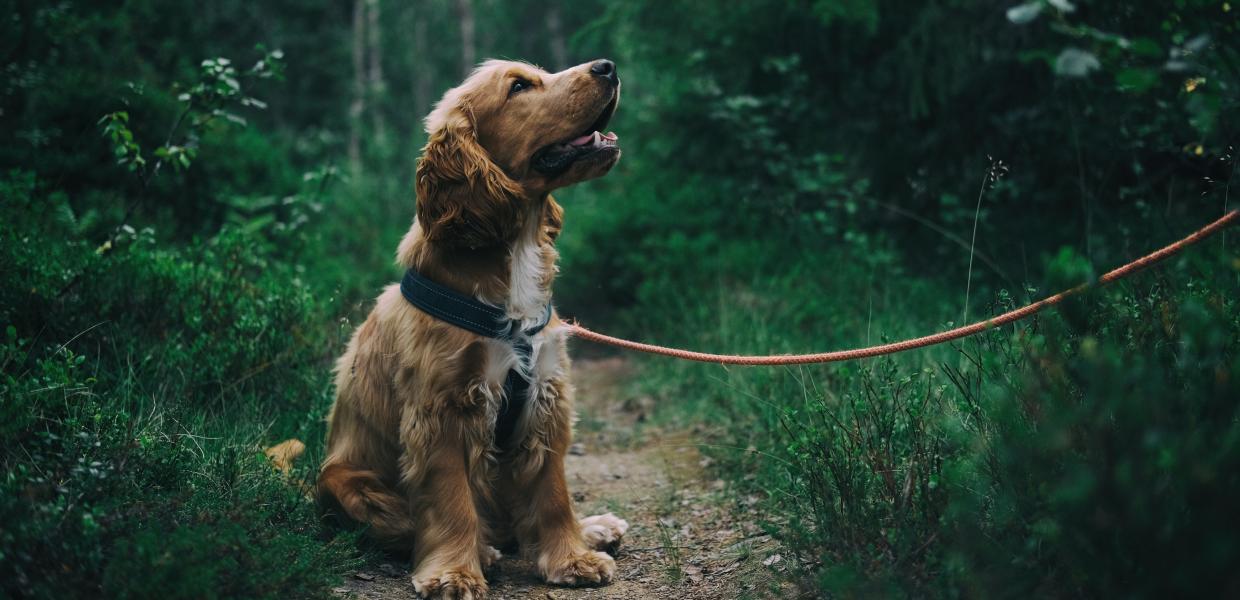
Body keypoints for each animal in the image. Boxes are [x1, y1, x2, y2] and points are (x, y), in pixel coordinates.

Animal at [314, 59, 629, 600]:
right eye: (519, 86)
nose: (607, 66)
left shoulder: (546, 395)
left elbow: (553, 492)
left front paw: (572, 557)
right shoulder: (443, 408)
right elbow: (451, 499)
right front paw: (454, 572)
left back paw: (593, 528)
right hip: (345, 484)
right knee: (414, 524)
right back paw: (482, 551)